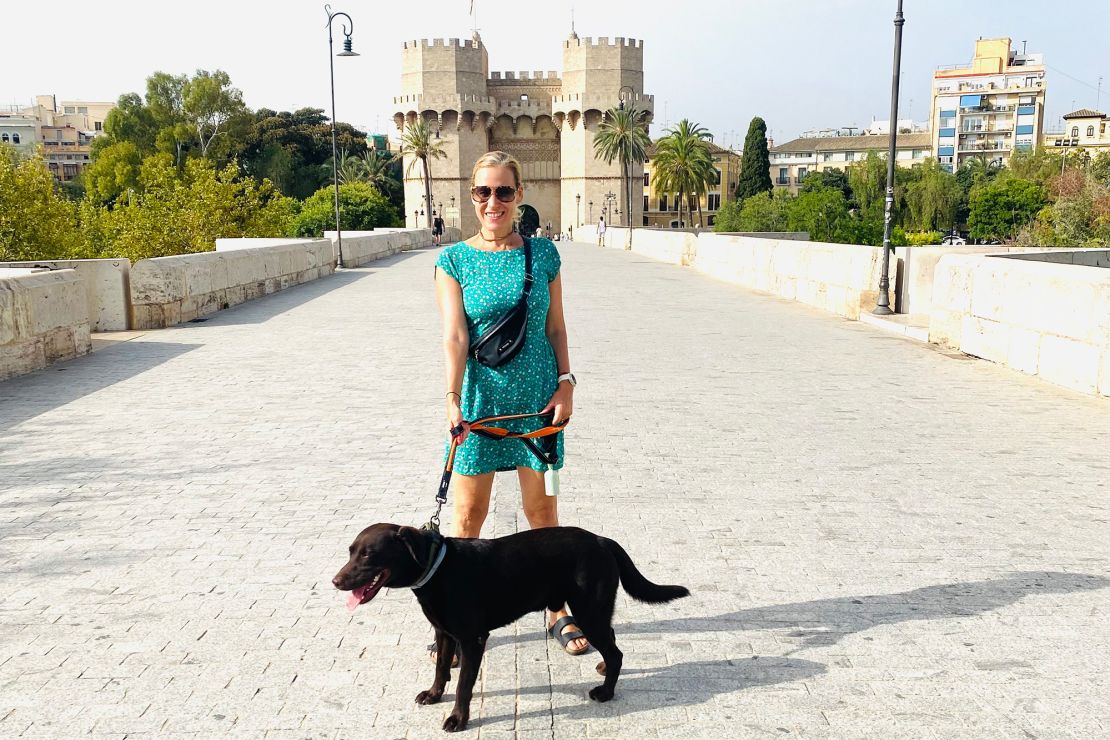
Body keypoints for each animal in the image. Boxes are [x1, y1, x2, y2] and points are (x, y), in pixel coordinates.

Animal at [333, 523, 688, 732]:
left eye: (369, 554)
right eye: (350, 552)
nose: (335, 581)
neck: (436, 569)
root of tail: (603, 540)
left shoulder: (473, 639)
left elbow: (463, 686)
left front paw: (457, 719)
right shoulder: (444, 634)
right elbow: (442, 669)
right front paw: (434, 695)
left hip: (589, 610)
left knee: (616, 652)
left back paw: (606, 692)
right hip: (596, 611)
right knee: (613, 644)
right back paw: (602, 670)